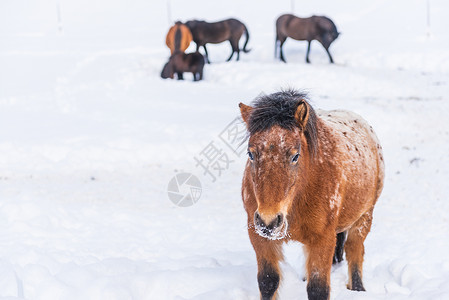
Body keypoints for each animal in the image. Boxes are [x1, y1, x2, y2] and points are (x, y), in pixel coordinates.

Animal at [240, 89, 384, 300]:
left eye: (295, 156)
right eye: (250, 154)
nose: (269, 222)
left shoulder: (323, 240)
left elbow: (318, 289)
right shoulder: (259, 236)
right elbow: (268, 281)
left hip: (364, 218)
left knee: (354, 251)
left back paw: (358, 289)